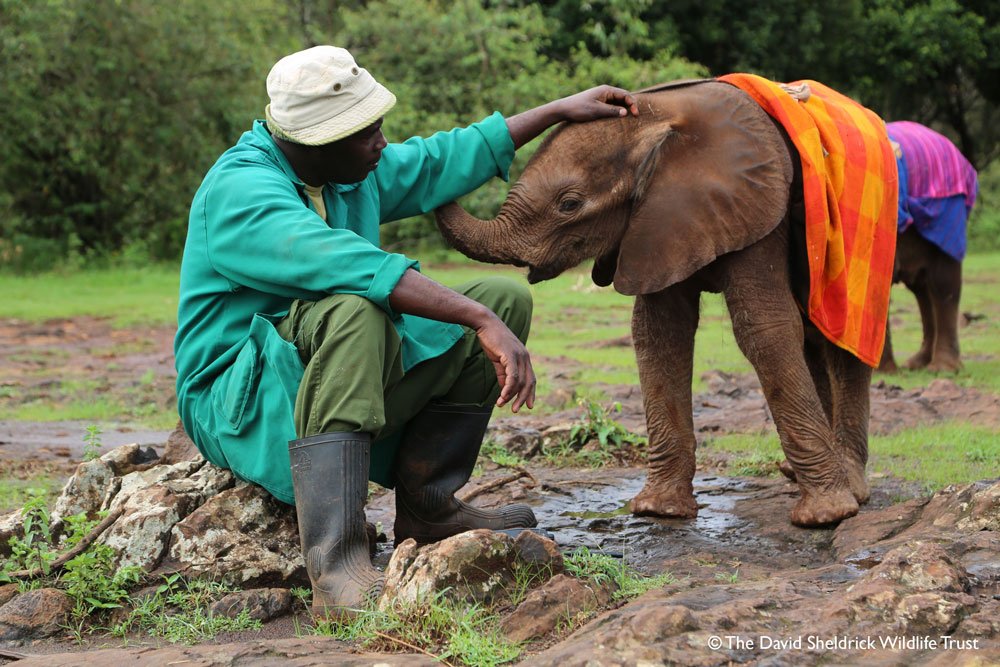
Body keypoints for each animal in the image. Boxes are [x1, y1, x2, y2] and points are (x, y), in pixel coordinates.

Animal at [436, 78, 898, 527]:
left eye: (569, 204)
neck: (655, 121)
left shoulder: (755, 207)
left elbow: (763, 327)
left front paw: (826, 516)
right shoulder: (657, 223)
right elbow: (659, 332)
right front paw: (661, 511)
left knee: (843, 343)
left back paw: (850, 486)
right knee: (813, 337)